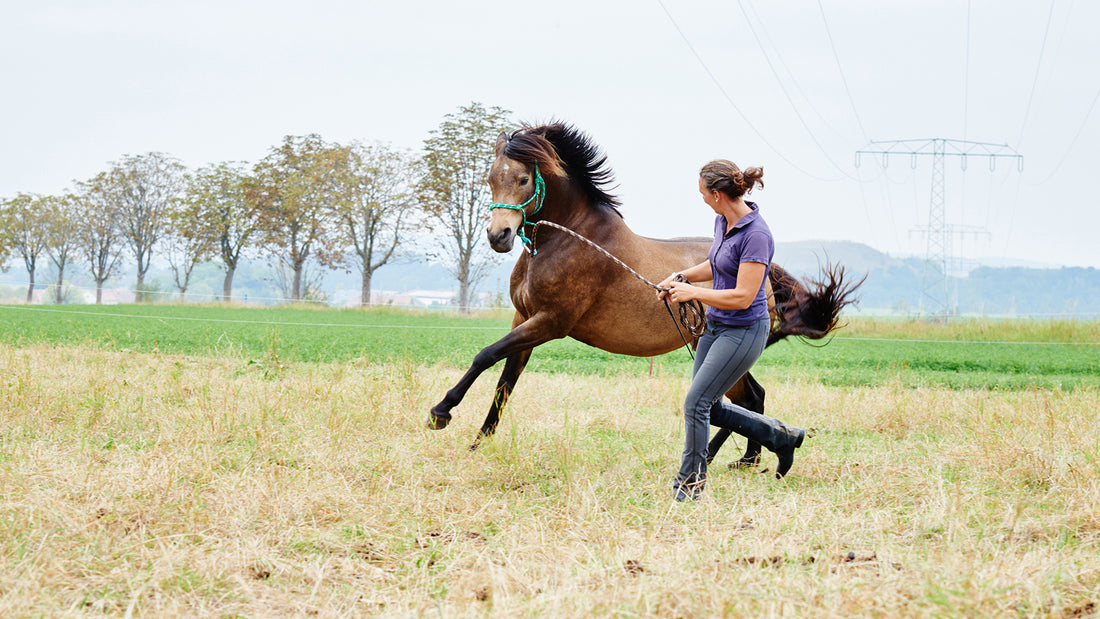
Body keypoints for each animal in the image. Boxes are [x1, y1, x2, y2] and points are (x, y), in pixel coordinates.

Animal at [424, 122, 862, 470]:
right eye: (491, 178)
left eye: (523, 180)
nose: (498, 236)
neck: (567, 240)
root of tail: (769, 280)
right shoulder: (525, 320)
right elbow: (505, 383)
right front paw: (478, 443)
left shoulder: (550, 322)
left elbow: (485, 356)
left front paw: (440, 413)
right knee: (746, 399)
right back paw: (743, 457)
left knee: (744, 398)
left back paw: (731, 457)